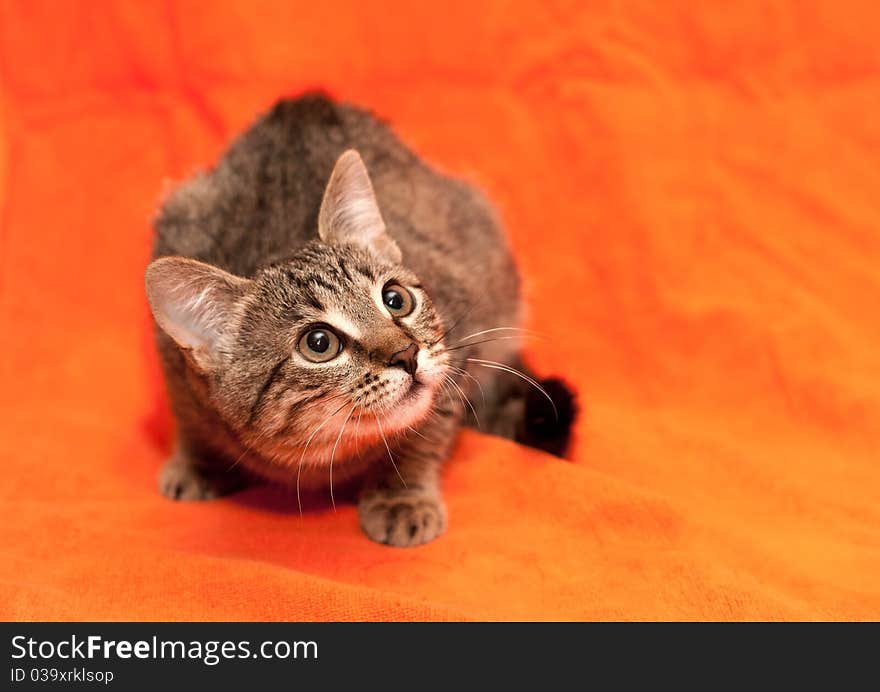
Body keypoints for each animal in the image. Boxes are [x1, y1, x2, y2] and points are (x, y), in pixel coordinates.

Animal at [148, 94, 576, 548]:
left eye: (396, 299)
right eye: (319, 343)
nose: (408, 353)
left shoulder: (458, 346)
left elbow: (424, 432)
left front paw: (401, 495)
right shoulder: (175, 370)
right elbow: (188, 417)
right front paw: (198, 461)